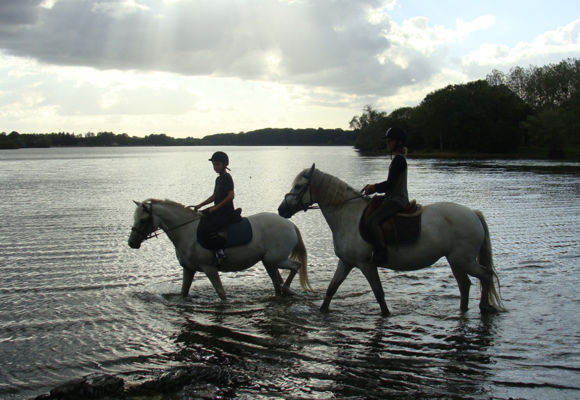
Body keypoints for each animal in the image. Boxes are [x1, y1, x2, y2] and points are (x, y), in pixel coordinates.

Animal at [129, 198, 310, 298]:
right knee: (277, 283)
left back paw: (287, 289)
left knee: (296, 266)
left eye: (143, 220)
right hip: (268, 262)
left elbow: (222, 294)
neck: (187, 231)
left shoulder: (209, 269)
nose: (132, 243)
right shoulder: (188, 269)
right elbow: (183, 292)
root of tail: (290, 224)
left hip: (277, 259)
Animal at [278, 165, 502, 316]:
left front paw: (386, 315)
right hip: (456, 261)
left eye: (299, 186)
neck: (347, 216)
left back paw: (484, 306)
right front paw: (322, 312)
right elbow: (331, 290)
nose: (281, 210)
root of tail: (473, 214)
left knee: (486, 275)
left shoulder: (366, 265)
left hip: (464, 260)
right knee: (465, 285)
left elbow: (379, 294)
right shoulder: (346, 262)